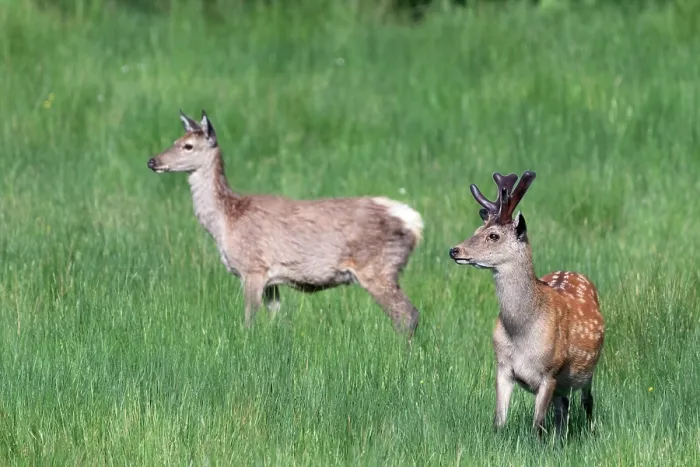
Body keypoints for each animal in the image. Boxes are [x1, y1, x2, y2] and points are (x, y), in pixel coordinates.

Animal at [146, 109, 424, 336]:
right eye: (175, 141)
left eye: (188, 146)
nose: (152, 161)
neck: (226, 221)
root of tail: (414, 222)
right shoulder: (272, 280)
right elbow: (275, 317)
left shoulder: (252, 267)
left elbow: (249, 319)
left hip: (377, 267)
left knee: (407, 314)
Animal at [448, 171, 605, 439]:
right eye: (477, 228)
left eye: (493, 235)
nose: (454, 250)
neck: (522, 332)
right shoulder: (502, 366)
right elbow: (499, 421)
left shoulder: (550, 372)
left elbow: (537, 426)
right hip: (563, 386)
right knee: (563, 408)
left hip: (587, 371)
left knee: (587, 401)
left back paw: (591, 430)